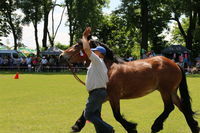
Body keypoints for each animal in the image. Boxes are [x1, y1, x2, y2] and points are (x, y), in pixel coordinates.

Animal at [59, 40, 198, 132]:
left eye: (77, 45)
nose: (61, 56)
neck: (108, 69)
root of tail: (175, 64)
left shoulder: (114, 96)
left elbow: (117, 115)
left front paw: (131, 127)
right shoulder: (104, 96)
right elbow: (85, 112)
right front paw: (76, 126)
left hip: (165, 91)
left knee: (169, 107)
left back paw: (156, 126)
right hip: (172, 91)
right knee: (183, 108)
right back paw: (194, 126)